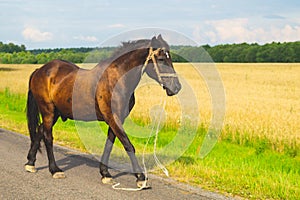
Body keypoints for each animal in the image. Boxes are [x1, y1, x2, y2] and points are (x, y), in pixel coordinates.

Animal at [24, 34, 182, 188]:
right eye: (161, 59)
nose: (176, 87)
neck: (117, 80)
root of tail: (39, 71)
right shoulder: (113, 117)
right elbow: (128, 145)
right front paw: (140, 177)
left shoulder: (116, 119)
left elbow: (109, 144)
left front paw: (105, 174)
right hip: (48, 111)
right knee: (48, 137)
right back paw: (55, 170)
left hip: (55, 113)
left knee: (40, 130)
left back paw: (30, 163)